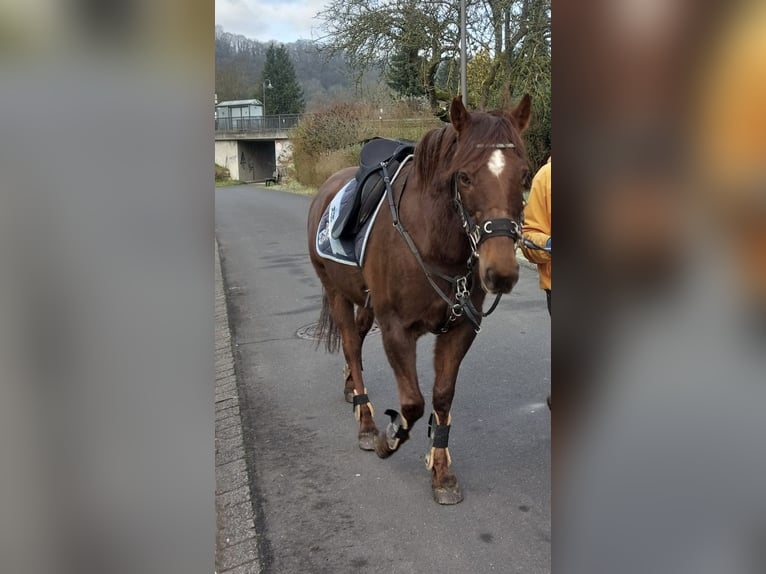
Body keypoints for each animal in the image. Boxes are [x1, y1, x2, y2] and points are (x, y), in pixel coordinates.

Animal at [307, 94, 531, 504]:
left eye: (524, 176)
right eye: (464, 177)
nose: (501, 272)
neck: (432, 242)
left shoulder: (460, 329)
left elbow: (441, 397)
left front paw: (441, 471)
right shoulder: (396, 329)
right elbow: (412, 402)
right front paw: (389, 436)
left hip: (365, 303)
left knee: (356, 342)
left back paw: (351, 388)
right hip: (336, 295)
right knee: (350, 345)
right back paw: (366, 423)